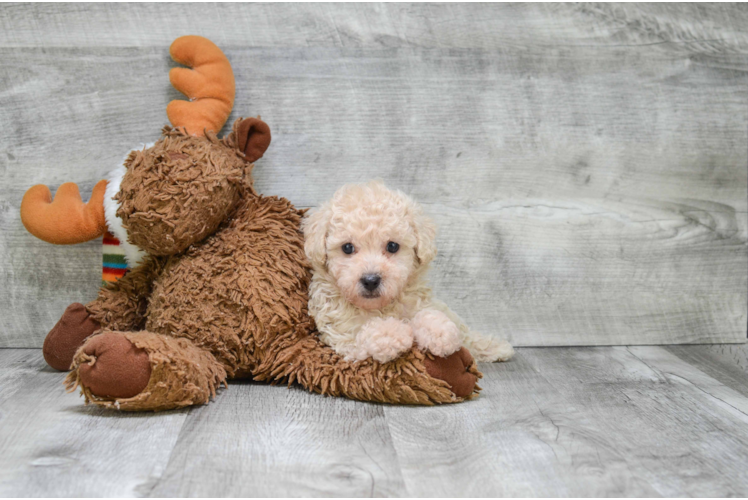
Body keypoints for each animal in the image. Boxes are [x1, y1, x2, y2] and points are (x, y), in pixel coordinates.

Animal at [300, 181, 512, 364]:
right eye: (347, 248)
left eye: (392, 246)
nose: (371, 280)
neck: (382, 306)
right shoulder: (341, 336)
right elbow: (364, 332)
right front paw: (391, 333)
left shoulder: (420, 302)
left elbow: (432, 316)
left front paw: (439, 332)